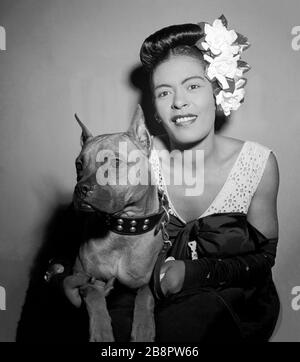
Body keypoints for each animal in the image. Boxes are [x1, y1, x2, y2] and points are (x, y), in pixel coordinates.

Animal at [71, 104, 168, 342]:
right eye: (79, 165)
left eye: (115, 162)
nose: (80, 189)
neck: (122, 231)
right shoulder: (83, 279)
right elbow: (94, 295)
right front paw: (101, 330)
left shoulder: (149, 282)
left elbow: (145, 296)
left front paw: (143, 328)